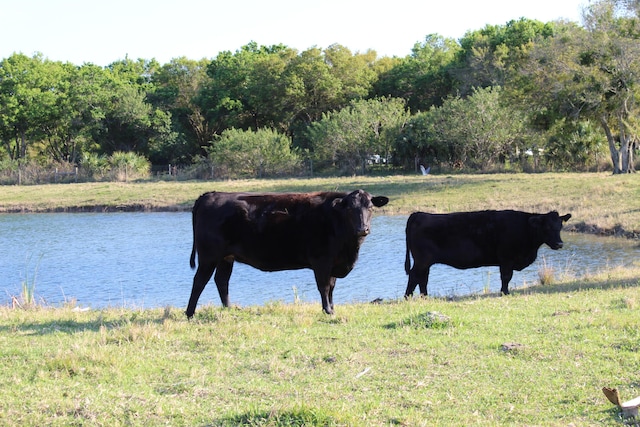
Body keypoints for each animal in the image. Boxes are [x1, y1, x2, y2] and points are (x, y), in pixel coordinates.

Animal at [182, 191, 388, 318]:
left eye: (370, 207)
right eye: (350, 209)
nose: (363, 229)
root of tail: (210, 195)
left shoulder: (334, 263)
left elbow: (332, 287)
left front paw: (332, 308)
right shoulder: (322, 261)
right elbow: (324, 287)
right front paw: (327, 310)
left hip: (226, 258)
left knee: (222, 280)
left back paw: (229, 308)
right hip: (209, 256)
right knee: (199, 281)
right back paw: (190, 313)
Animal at [402, 210, 572, 298]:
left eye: (560, 226)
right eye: (547, 227)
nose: (560, 244)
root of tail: (419, 214)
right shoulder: (506, 258)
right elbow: (506, 277)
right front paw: (505, 292)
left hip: (425, 262)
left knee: (422, 279)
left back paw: (425, 297)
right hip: (422, 260)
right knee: (415, 276)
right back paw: (408, 297)